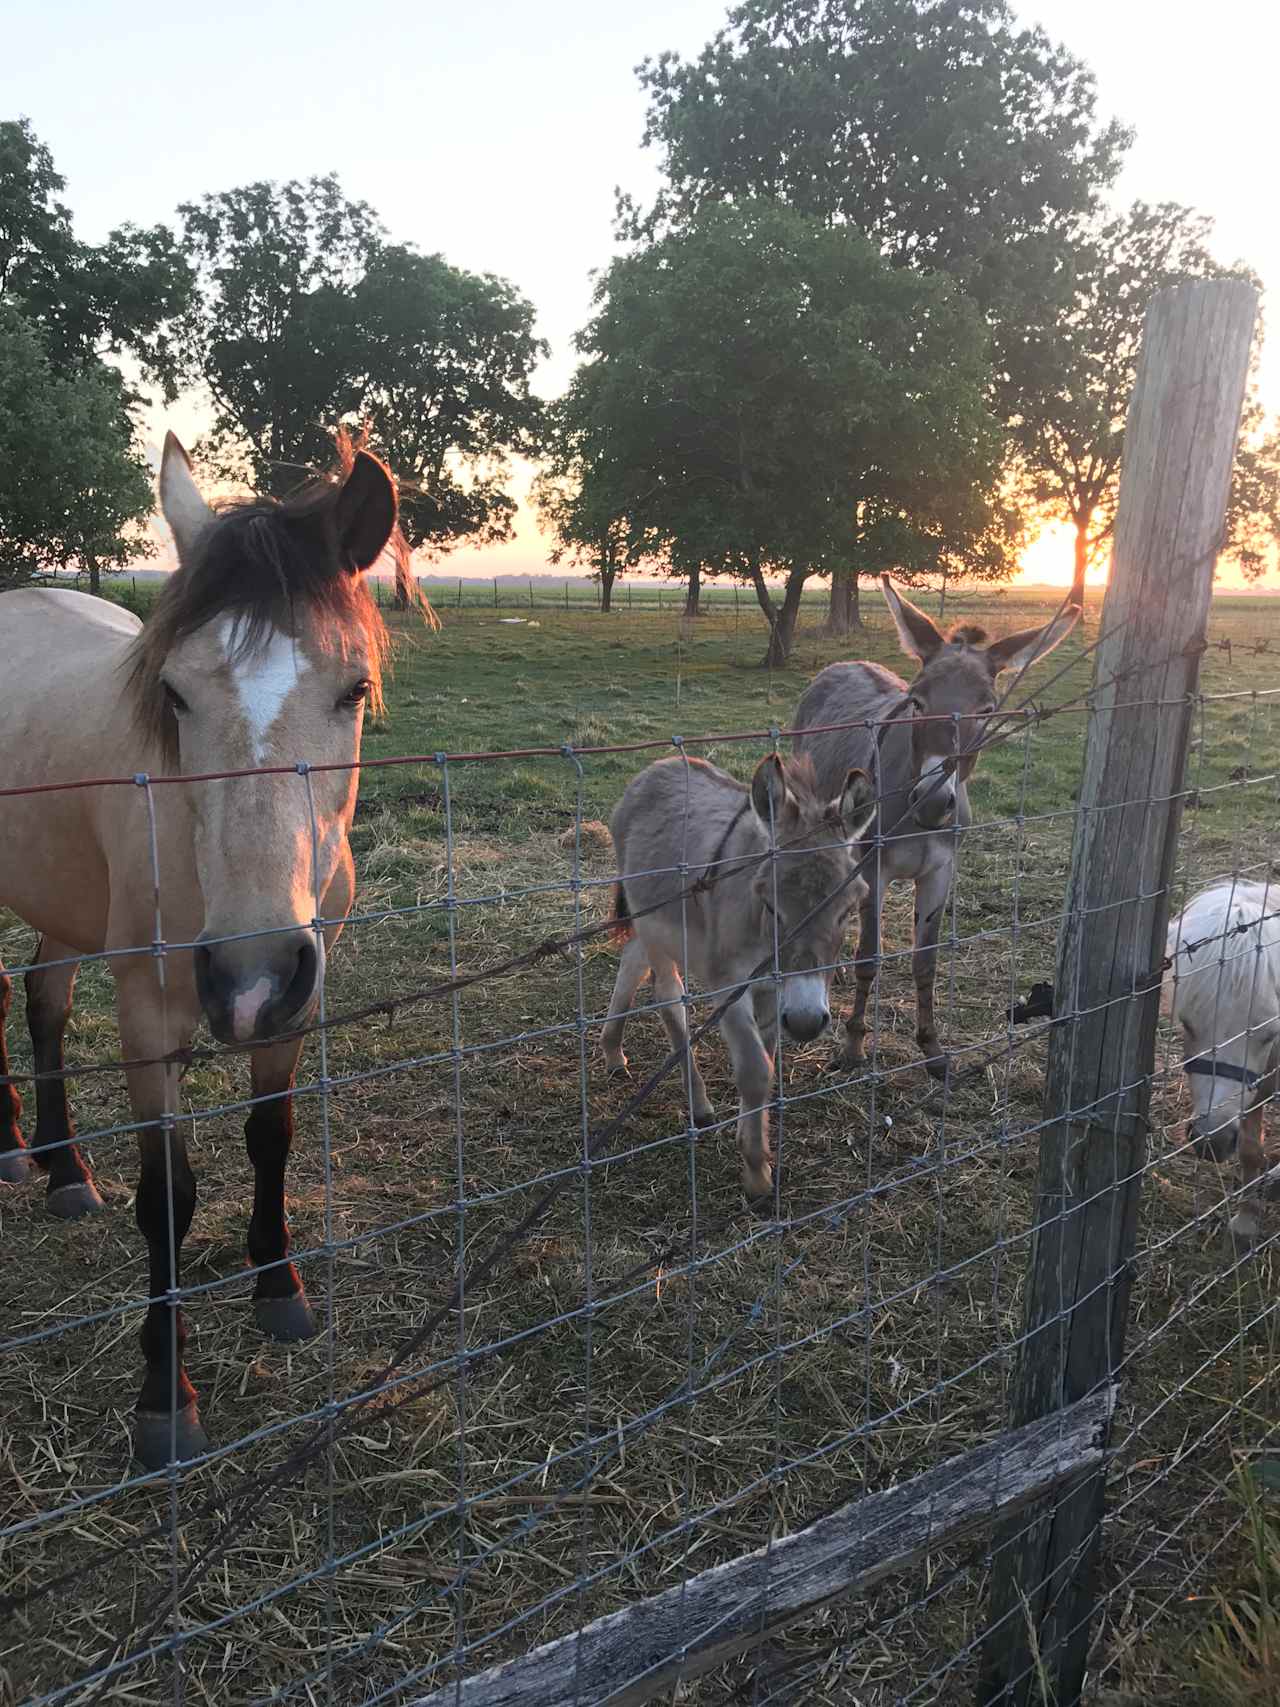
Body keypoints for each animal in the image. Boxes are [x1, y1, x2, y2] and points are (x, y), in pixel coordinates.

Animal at [1160, 880, 1280, 1242]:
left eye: (1270, 1032)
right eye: (1186, 1023)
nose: (1212, 1142)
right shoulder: (1258, 1085)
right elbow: (1250, 1148)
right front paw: (1247, 1219)